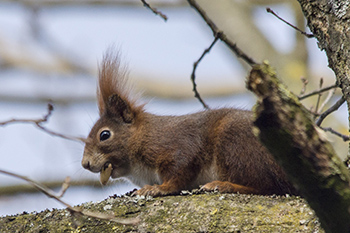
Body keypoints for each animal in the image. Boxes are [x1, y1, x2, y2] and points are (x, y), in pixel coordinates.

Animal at [82, 50, 298, 197]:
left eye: (104, 135)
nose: (85, 164)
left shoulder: (176, 146)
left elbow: (179, 172)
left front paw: (159, 188)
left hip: (237, 144)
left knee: (267, 186)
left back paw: (223, 185)